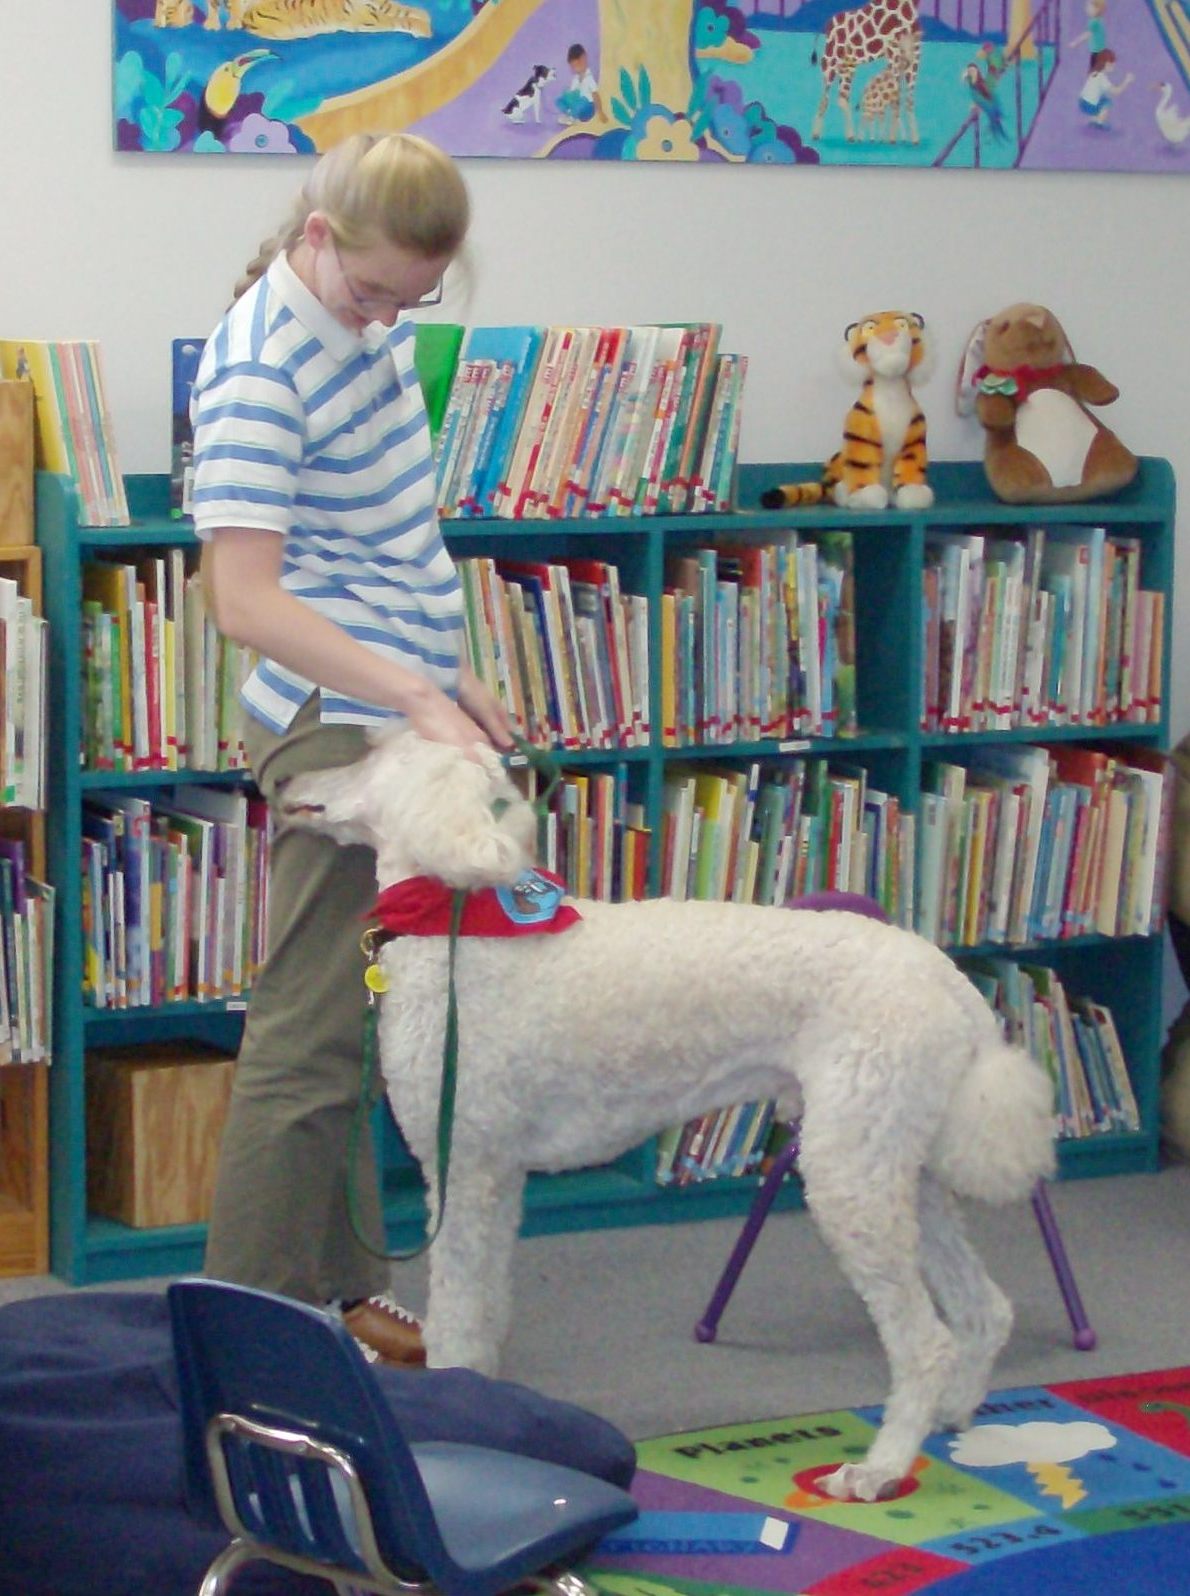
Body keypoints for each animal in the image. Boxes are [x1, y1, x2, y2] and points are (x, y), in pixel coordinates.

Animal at [759, 308, 925, 507]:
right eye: (869, 328)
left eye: (902, 324)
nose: (889, 337)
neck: (890, 386)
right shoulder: (861, 437)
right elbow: (862, 465)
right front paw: (867, 496)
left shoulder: (914, 440)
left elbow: (912, 466)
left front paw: (913, 495)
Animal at [810, 0, 925, 143]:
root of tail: (826, 26)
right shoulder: (894, 53)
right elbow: (896, 99)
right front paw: (892, 139)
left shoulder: (914, 54)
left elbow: (909, 100)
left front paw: (914, 139)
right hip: (830, 60)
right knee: (825, 97)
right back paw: (816, 134)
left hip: (848, 65)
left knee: (842, 97)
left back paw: (851, 136)